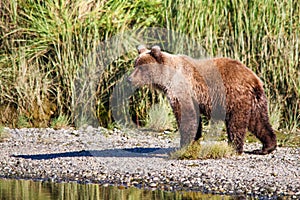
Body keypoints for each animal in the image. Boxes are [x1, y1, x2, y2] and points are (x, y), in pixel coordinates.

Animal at [126, 45, 276, 155]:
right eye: (135, 64)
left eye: (140, 67)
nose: (129, 79)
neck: (167, 78)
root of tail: (254, 78)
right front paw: (194, 142)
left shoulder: (183, 89)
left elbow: (186, 116)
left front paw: (183, 145)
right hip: (255, 100)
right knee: (259, 121)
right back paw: (266, 147)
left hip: (234, 97)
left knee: (236, 123)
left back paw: (233, 148)